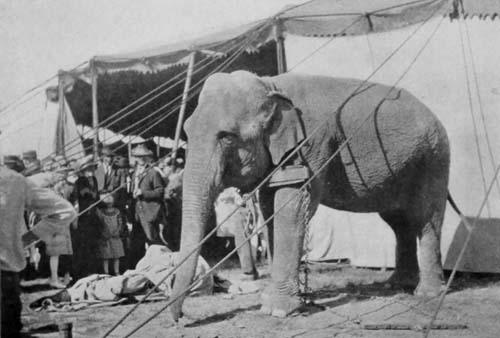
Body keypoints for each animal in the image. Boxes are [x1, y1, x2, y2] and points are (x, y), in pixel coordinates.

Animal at [170, 70, 452, 318]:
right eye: (186, 130)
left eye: (227, 137)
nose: (180, 318)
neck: (270, 84)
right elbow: (270, 207)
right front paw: (271, 300)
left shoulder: (312, 144)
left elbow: (291, 207)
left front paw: (278, 310)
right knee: (399, 223)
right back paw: (396, 284)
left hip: (433, 160)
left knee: (425, 219)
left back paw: (426, 294)